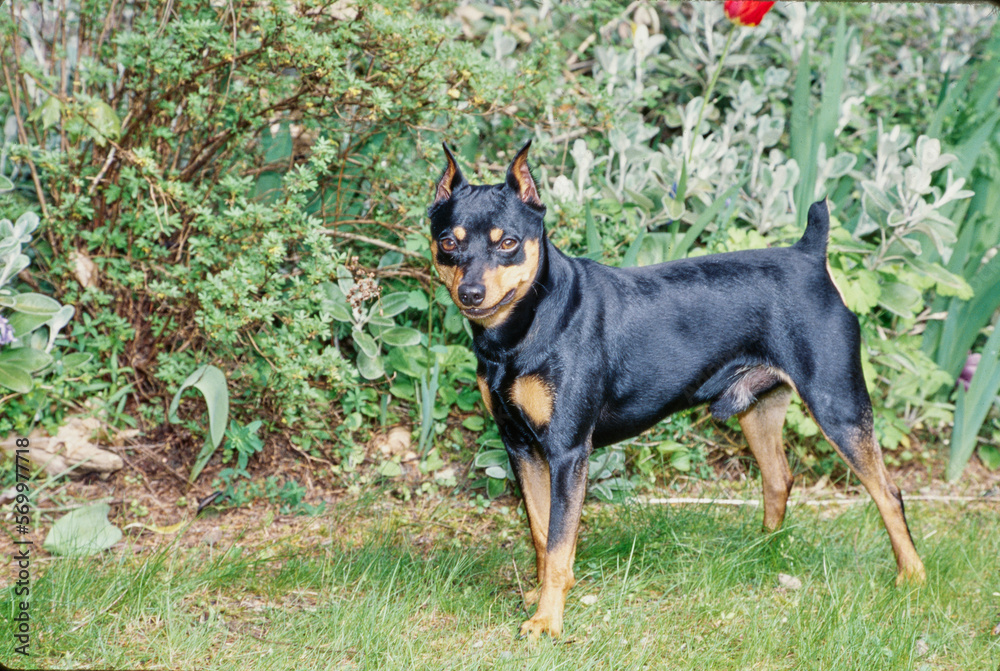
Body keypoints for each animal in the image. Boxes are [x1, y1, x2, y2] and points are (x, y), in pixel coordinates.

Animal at [426, 140, 924, 640]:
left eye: (508, 242)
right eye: (448, 242)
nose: (471, 293)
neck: (525, 328)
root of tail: (809, 254)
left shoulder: (567, 451)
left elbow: (559, 542)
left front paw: (547, 621)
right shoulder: (521, 447)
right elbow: (541, 533)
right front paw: (540, 597)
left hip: (838, 407)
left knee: (888, 493)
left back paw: (913, 578)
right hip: (759, 410)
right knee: (778, 478)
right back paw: (763, 552)